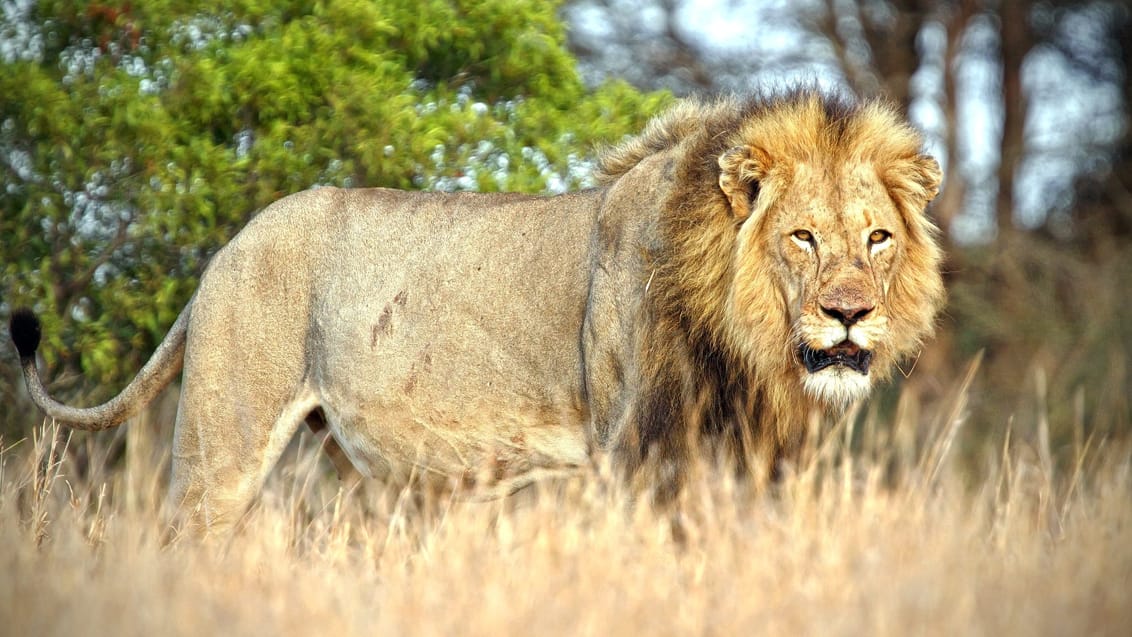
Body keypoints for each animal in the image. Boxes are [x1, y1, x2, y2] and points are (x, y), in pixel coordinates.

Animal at [8, 89, 946, 538]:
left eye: (876, 238)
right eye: (801, 238)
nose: (850, 315)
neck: (739, 342)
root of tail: (224, 250)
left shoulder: (743, 462)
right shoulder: (631, 452)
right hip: (221, 441)